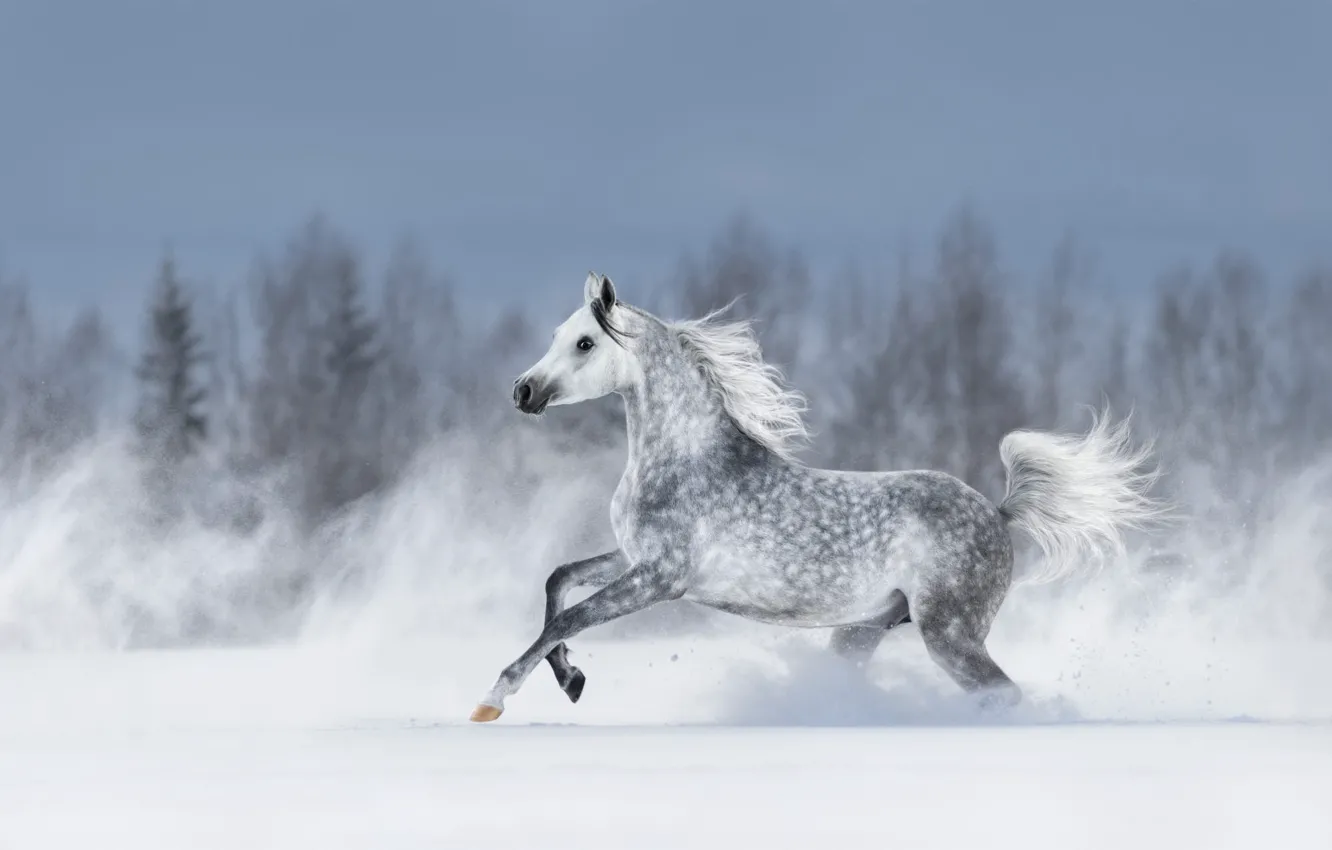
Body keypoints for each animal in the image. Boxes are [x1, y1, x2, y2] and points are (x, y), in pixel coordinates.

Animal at [470, 272, 1162, 722]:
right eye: (559, 334)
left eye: (585, 343)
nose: (521, 391)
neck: (685, 460)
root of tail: (998, 510)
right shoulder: (632, 558)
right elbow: (559, 582)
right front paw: (572, 680)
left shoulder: (660, 578)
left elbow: (568, 616)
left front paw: (493, 700)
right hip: (863, 631)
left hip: (950, 633)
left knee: (1003, 694)